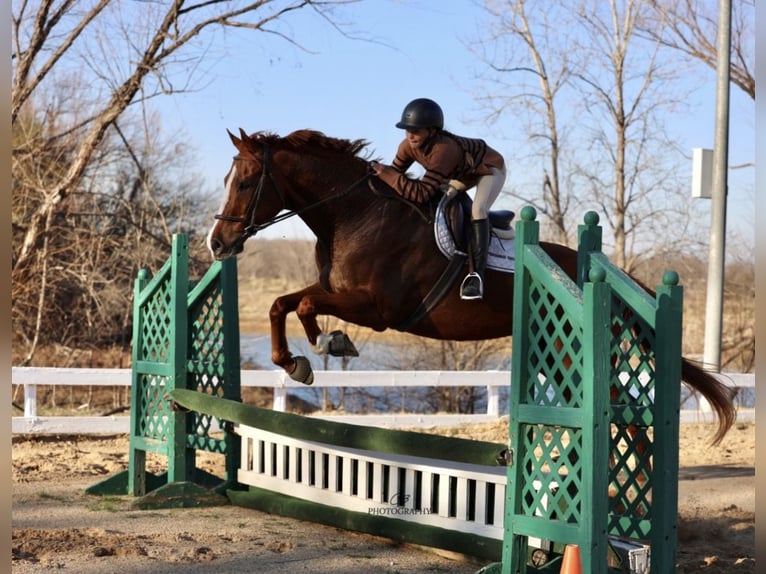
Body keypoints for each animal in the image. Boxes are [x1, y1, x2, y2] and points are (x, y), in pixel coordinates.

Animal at [206, 128, 736, 444]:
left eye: (246, 182)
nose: (216, 243)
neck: (353, 214)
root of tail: (603, 269)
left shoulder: (377, 309)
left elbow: (306, 307)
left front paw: (328, 342)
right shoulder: (334, 291)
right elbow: (282, 304)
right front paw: (297, 361)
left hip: (574, 352)